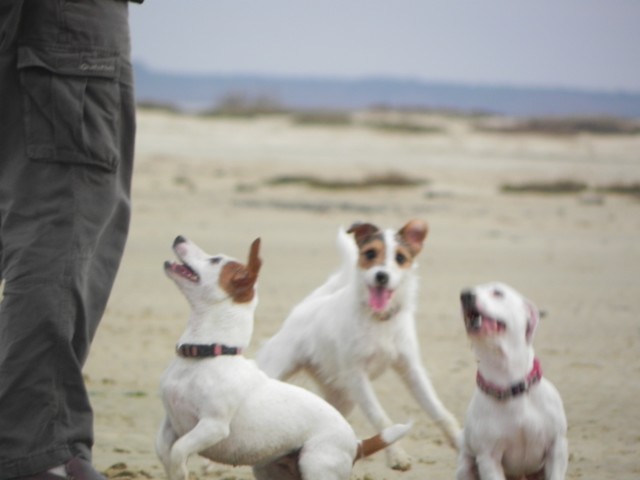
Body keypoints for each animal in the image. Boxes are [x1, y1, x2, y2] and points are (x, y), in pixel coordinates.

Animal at [155, 236, 410, 480]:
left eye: (215, 260)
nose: (179, 237)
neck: (207, 354)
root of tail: (357, 445)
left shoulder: (213, 426)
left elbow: (178, 450)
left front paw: (180, 472)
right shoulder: (170, 424)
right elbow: (164, 450)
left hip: (315, 464)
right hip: (268, 470)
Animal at [255, 220, 460, 468]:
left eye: (400, 258)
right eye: (370, 253)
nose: (381, 276)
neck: (378, 318)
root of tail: (305, 307)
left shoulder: (411, 370)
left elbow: (438, 410)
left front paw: (460, 442)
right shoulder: (357, 377)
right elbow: (381, 418)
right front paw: (396, 456)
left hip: (343, 398)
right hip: (276, 370)